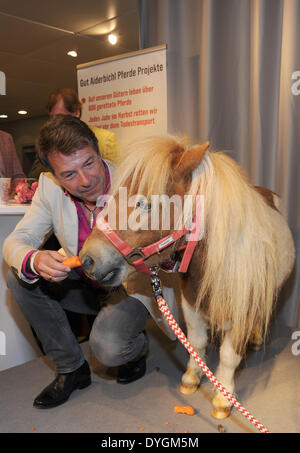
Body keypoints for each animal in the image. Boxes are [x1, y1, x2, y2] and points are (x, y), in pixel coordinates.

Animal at [79, 136, 296, 418]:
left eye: (145, 203)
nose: (87, 259)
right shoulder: (190, 301)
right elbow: (196, 341)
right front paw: (192, 377)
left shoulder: (242, 308)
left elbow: (229, 355)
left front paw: (223, 397)